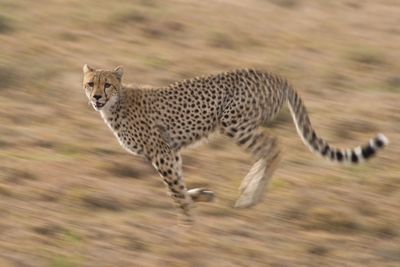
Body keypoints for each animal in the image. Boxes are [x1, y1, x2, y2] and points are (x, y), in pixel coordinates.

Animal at [81, 65, 388, 224]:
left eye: (107, 84)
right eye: (90, 83)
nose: (96, 97)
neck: (117, 103)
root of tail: (275, 74)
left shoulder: (161, 152)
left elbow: (175, 191)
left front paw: (188, 222)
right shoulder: (170, 151)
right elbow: (179, 185)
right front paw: (201, 196)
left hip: (234, 122)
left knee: (274, 146)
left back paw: (251, 196)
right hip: (240, 124)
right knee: (269, 150)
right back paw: (248, 190)